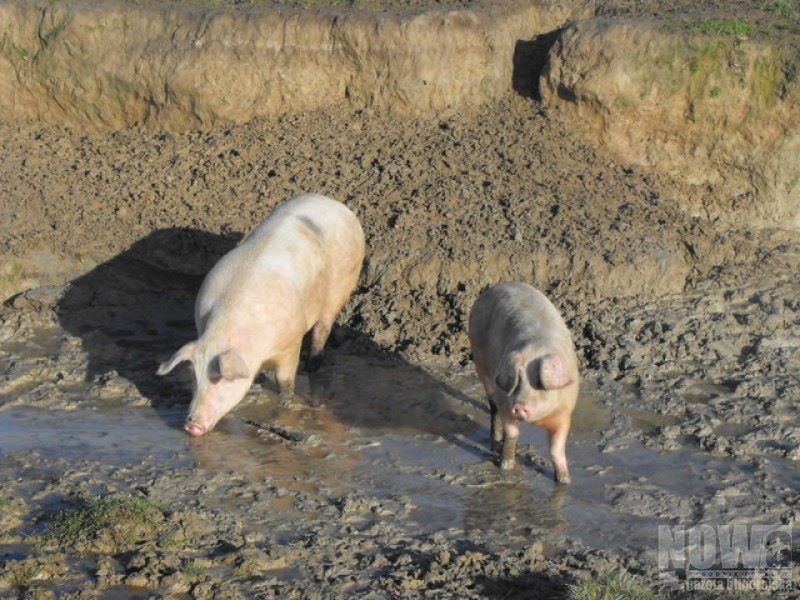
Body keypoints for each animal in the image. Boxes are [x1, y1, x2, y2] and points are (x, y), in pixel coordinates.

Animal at [155, 196, 366, 436]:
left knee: (324, 326)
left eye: (218, 378)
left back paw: (312, 365)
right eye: (193, 377)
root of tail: (336, 205)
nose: (190, 425)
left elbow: (285, 380)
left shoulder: (291, 342)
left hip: (343, 283)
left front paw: (285, 403)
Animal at [466, 284, 580, 486]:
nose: (519, 406)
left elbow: (556, 449)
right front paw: (505, 468)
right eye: (518, 383)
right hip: (480, 361)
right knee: (493, 407)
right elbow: (512, 434)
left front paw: (565, 481)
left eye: (539, 385)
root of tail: (495, 287)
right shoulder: (505, 402)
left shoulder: (565, 413)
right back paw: (496, 439)